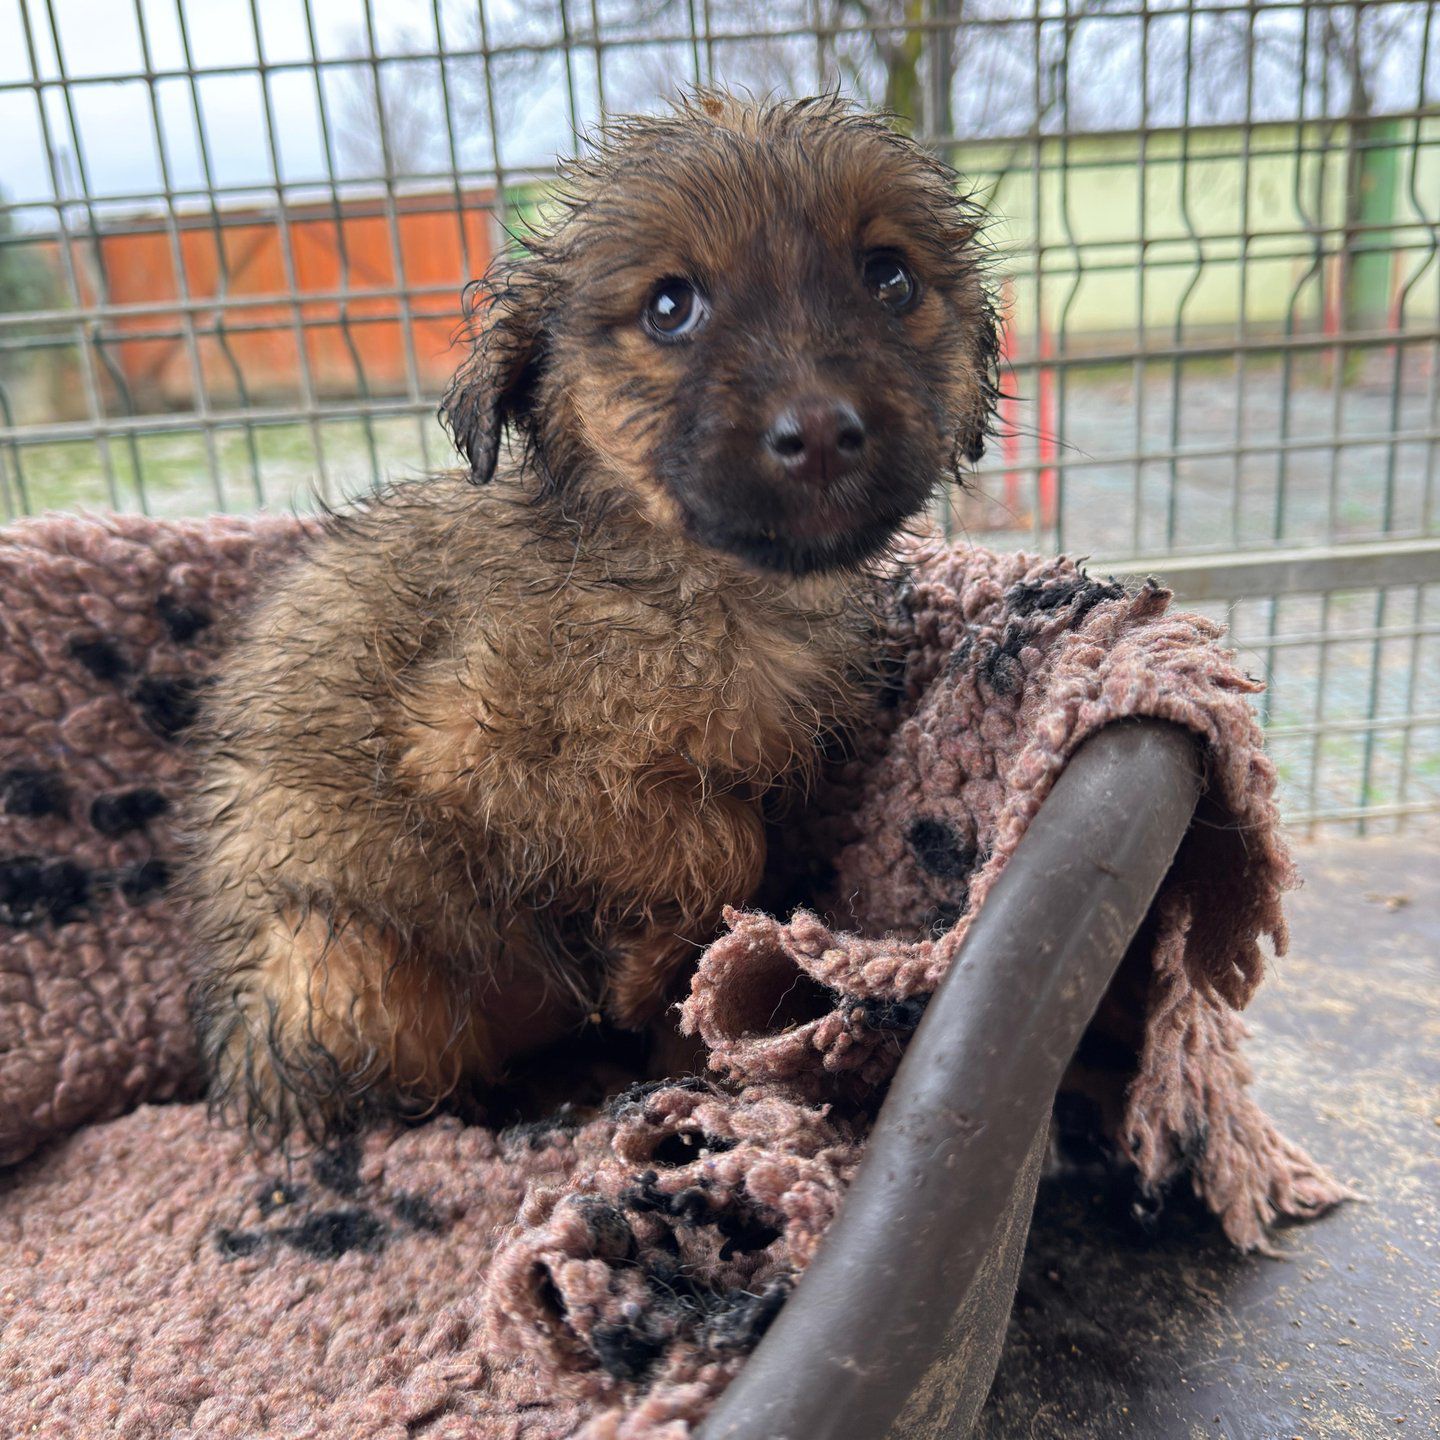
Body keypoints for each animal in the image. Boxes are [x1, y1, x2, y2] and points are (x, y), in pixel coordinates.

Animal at [186, 91, 998, 1143]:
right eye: (670, 306)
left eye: (889, 277)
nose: (820, 429)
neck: (704, 589)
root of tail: (234, 1075)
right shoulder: (475, 753)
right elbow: (715, 837)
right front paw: (642, 972)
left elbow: (737, 864)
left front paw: (685, 1027)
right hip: (338, 958)